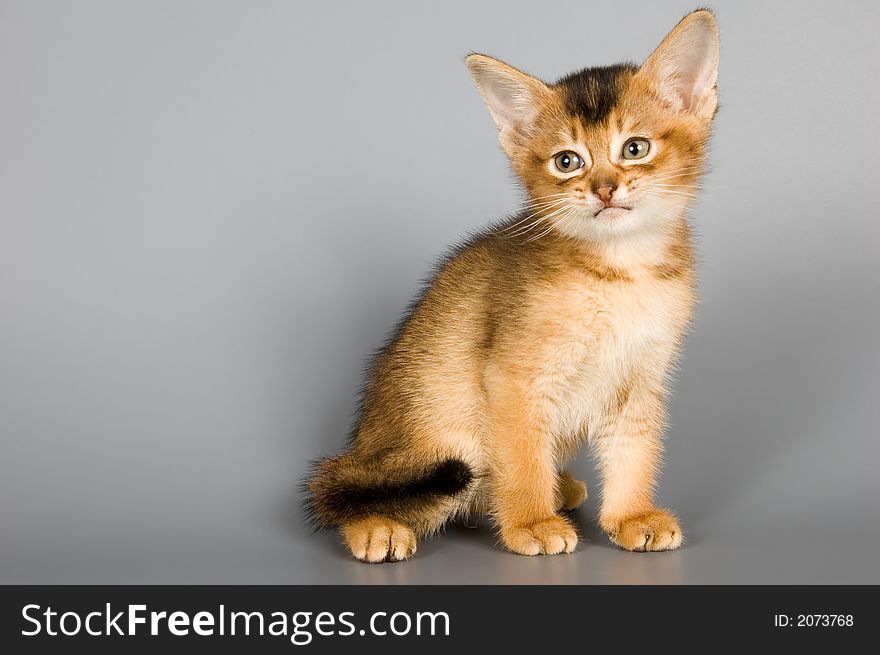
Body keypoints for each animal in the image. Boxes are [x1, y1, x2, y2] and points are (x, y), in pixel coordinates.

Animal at [306, 9, 720, 564]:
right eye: (567, 161)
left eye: (635, 148)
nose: (605, 189)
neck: (619, 273)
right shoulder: (513, 377)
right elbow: (522, 456)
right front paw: (531, 523)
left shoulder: (639, 379)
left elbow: (634, 451)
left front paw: (631, 516)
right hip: (438, 440)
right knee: (352, 491)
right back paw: (379, 529)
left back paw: (559, 488)